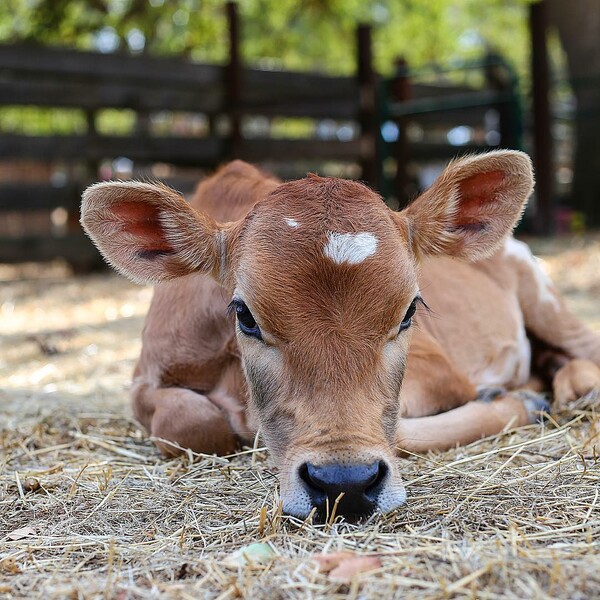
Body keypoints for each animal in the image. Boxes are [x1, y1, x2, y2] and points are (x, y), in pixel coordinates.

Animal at [81, 152, 600, 524]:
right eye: (245, 316)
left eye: (410, 309)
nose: (344, 484)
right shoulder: (145, 378)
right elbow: (186, 420)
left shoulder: (442, 370)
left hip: (545, 299)